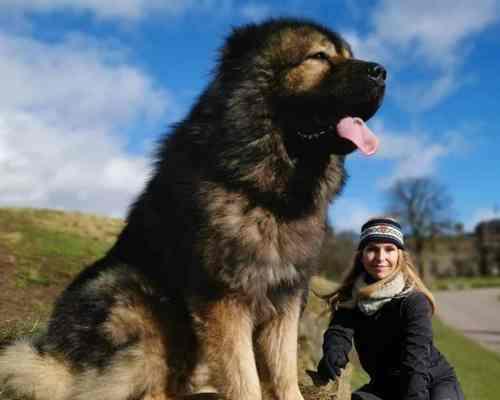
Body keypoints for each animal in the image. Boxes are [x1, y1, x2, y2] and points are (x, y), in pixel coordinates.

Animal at [0, 17, 386, 398]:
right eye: (319, 56)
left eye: (349, 54)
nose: (381, 71)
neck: (269, 196)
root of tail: (54, 358)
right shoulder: (225, 300)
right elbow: (245, 381)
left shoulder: (286, 300)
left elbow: (285, 377)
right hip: (139, 305)